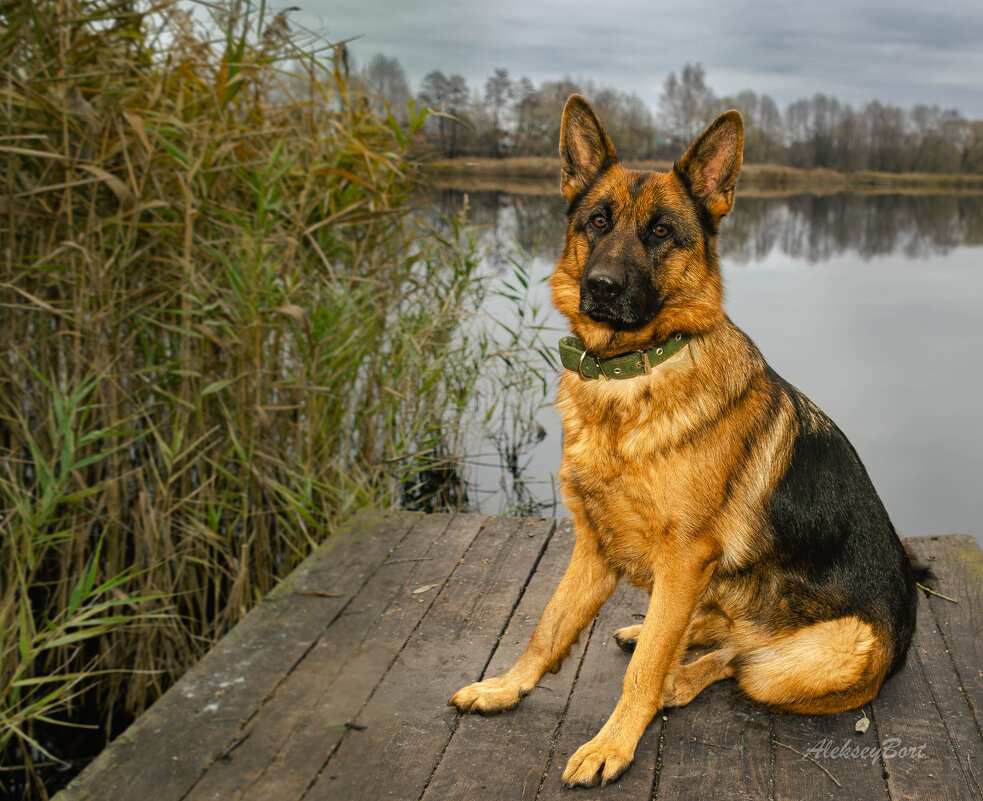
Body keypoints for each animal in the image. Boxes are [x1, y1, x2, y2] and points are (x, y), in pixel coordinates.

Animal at [450, 95, 920, 788]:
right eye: (597, 221)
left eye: (662, 233)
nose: (602, 287)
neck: (631, 377)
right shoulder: (594, 544)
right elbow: (548, 626)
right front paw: (507, 687)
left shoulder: (685, 558)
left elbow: (644, 671)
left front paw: (613, 743)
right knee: (715, 633)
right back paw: (656, 631)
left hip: (806, 660)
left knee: (738, 660)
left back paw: (679, 677)